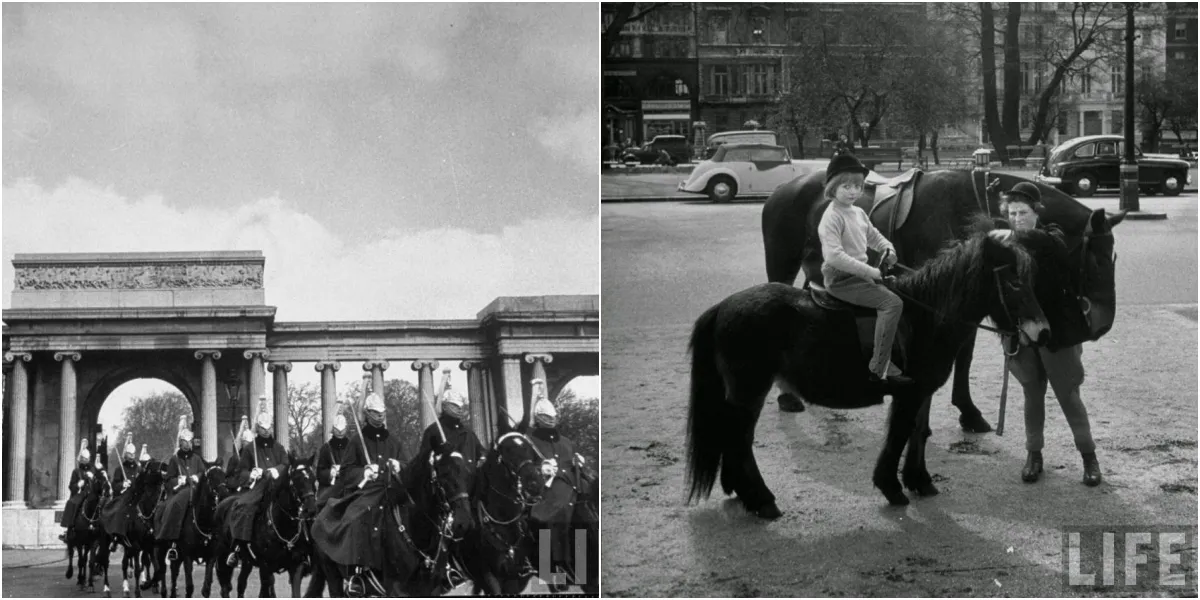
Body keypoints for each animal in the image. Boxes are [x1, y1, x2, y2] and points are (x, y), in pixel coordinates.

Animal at [214, 453, 319, 600]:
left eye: (313, 478)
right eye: (296, 479)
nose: (311, 509)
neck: (284, 528)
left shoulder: (295, 566)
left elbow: (294, 591)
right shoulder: (266, 566)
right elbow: (267, 589)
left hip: (246, 561)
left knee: (241, 583)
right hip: (222, 555)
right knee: (225, 586)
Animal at [686, 226, 1060, 518]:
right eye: (1013, 282)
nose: (1043, 332)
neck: (925, 317)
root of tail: (723, 307)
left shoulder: (921, 392)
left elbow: (918, 433)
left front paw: (919, 480)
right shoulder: (908, 393)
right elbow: (899, 435)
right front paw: (891, 487)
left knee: (733, 439)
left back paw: (740, 490)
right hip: (750, 392)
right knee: (739, 440)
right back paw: (760, 499)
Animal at [763, 170, 1118, 432]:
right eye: (1097, 260)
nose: (1104, 323)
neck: (966, 205)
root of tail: (782, 189)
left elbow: (965, 355)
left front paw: (967, 411)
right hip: (782, 265)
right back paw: (788, 396)